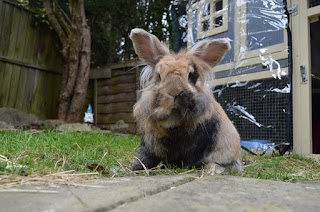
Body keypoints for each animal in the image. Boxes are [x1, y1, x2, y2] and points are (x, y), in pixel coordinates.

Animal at [129, 28, 241, 174]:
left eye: (191, 76)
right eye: (158, 76)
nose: (174, 91)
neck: (173, 120)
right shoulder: (149, 146)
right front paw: (137, 168)